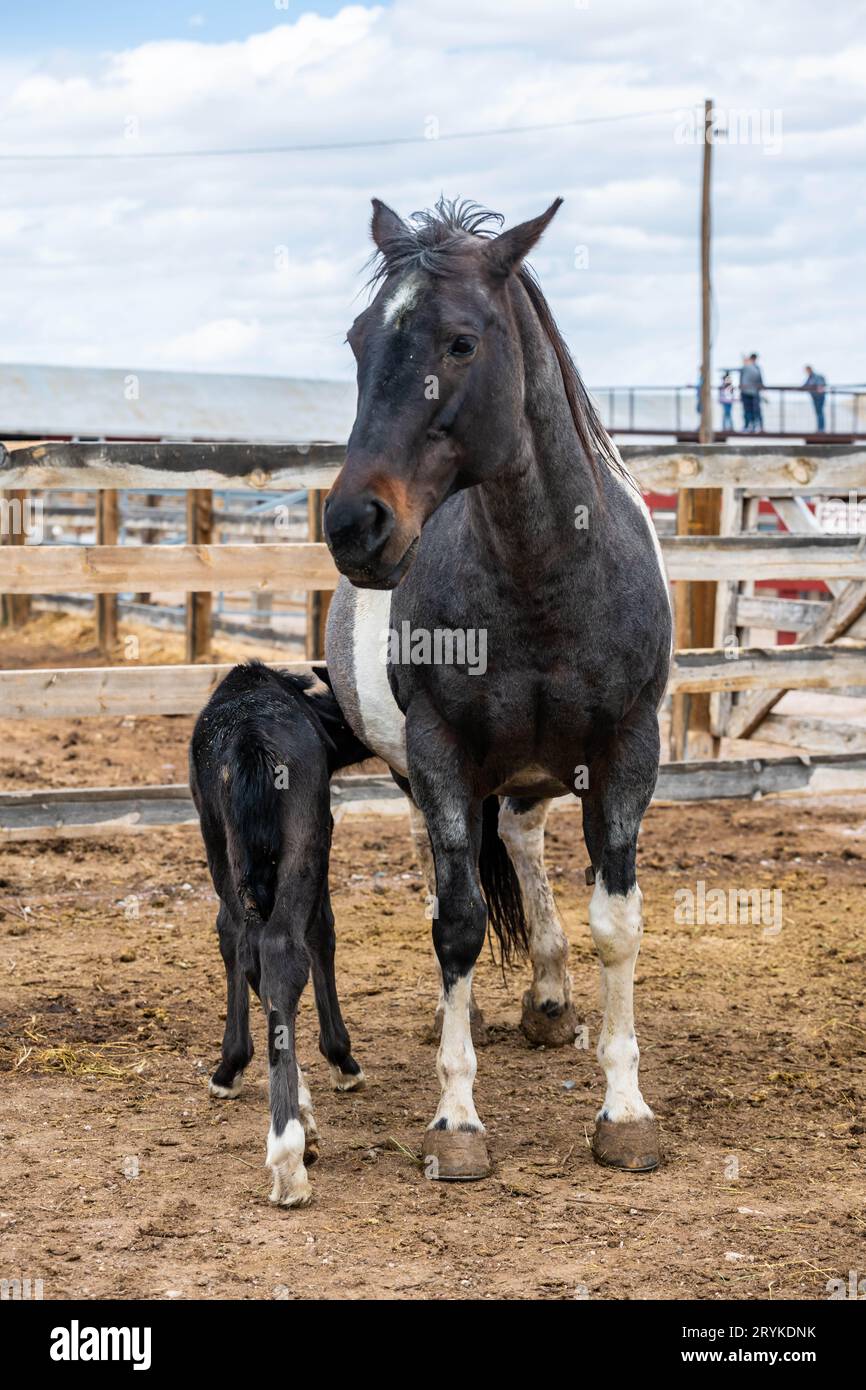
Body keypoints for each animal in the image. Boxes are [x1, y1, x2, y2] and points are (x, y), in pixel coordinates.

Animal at [190, 662, 370, 1206]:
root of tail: (251, 741)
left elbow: (238, 949)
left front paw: (232, 1067)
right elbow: (320, 935)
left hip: (232, 850)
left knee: (262, 949)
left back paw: (286, 1145)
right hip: (300, 846)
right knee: (282, 953)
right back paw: (290, 1148)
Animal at [323, 197, 671, 1180]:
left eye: (461, 343)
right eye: (359, 340)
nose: (355, 523)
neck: (542, 572)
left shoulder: (627, 753)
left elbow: (616, 926)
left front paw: (625, 1112)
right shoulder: (440, 754)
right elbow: (457, 924)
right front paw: (457, 1119)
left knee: (519, 837)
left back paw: (551, 1000)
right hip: (420, 772)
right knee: (451, 870)